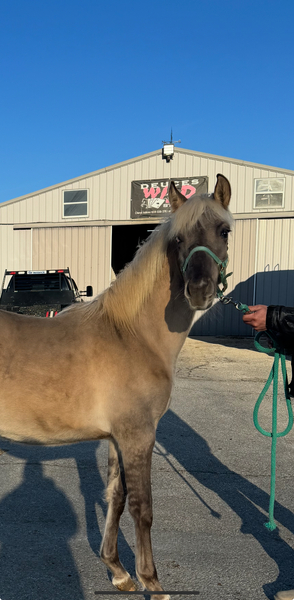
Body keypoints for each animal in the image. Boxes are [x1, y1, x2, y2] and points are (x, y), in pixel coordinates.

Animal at [0, 175, 232, 600]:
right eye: (178, 238)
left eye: (223, 230)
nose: (199, 290)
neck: (132, 335)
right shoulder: (138, 435)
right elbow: (143, 507)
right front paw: (152, 583)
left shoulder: (116, 438)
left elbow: (116, 497)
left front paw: (119, 572)